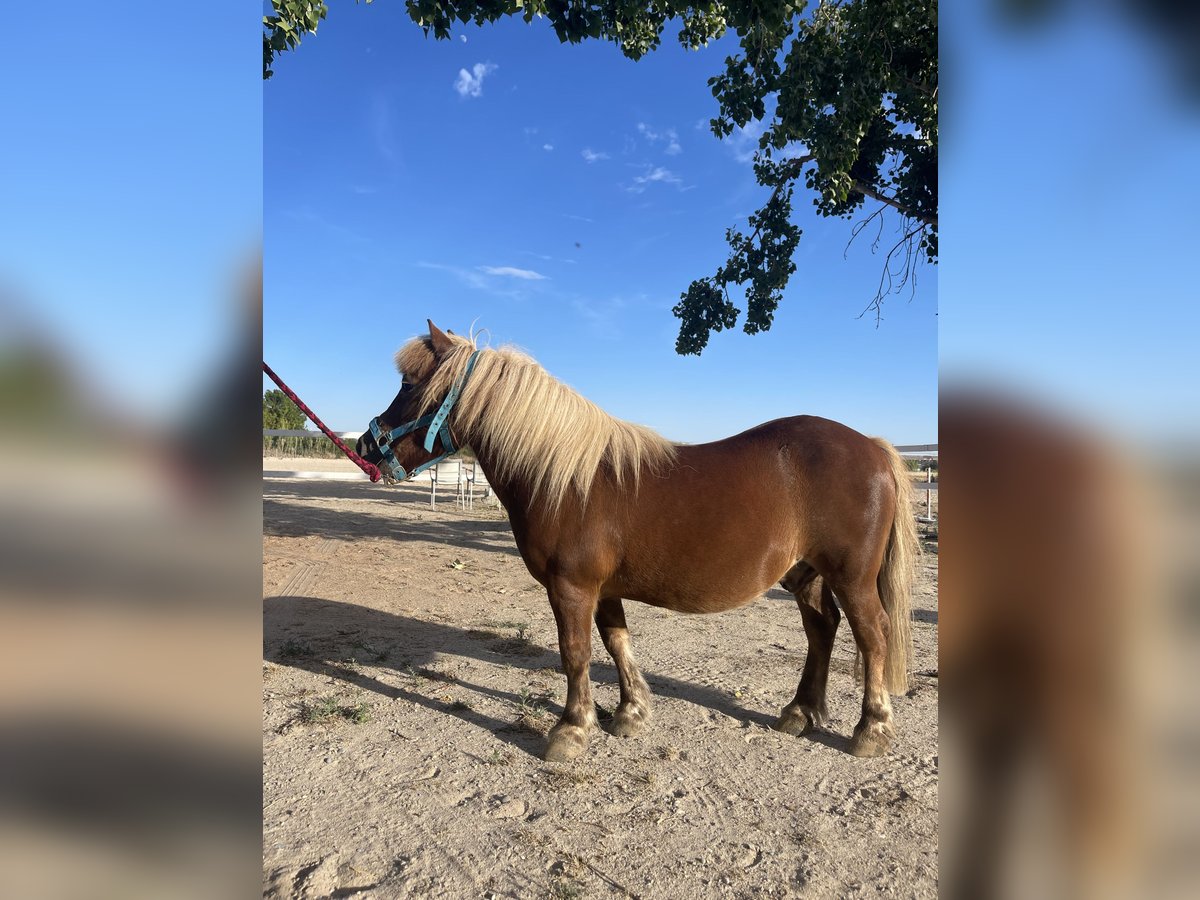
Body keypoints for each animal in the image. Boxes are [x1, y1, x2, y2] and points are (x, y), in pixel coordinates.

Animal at [355, 324, 916, 763]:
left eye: (409, 383)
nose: (365, 445)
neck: (568, 479)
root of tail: (873, 446)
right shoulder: (602, 588)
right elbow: (615, 641)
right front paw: (630, 713)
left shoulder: (571, 587)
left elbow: (575, 652)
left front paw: (571, 729)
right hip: (806, 573)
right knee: (822, 629)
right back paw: (800, 712)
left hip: (852, 576)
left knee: (873, 635)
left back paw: (871, 730)